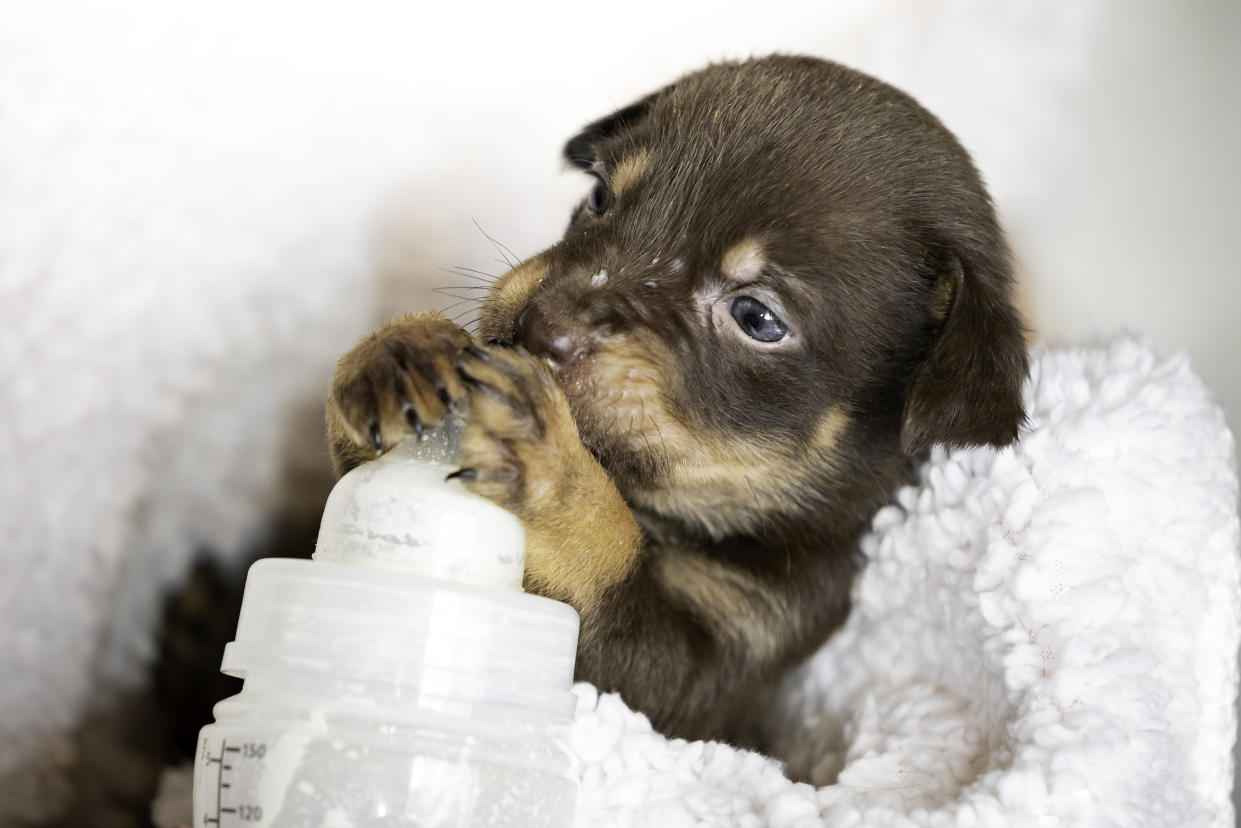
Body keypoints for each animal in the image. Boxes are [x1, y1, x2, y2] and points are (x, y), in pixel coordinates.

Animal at [325, 54, 1022, 749]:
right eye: (600, 197)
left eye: (758, 319)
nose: (539, 327)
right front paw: (400, 348)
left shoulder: (704, 678)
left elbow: (612, 567)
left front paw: (559, 477)